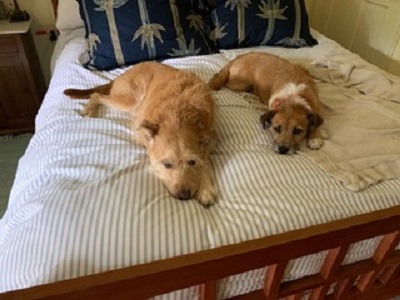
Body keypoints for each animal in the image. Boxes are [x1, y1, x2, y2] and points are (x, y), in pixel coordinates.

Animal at [64, 61, 217, 206]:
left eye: (192, 162)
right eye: (167, 165)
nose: (184, 196)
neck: (179, 116)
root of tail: (125, 72)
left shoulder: (209, 139)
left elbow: (205, 162)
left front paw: (205, 188)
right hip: (129, 99)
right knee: (97, 95)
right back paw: (90, 109)